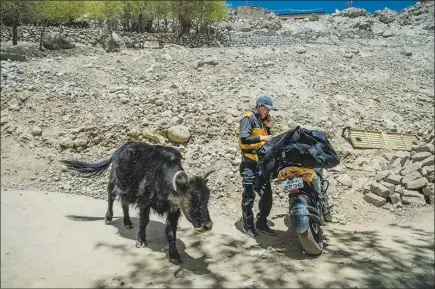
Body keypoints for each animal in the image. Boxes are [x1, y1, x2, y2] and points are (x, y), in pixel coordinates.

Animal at [62, 140, 215, 264]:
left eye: (207, 198)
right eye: (190, 198)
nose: (207, 225)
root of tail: (117, 150)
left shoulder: (173, 210)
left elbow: (172, 231)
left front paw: (174, 255)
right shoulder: (144, 202)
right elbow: (144, 221)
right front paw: (140, 241)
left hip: (127, 191)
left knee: (124, 203)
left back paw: (128, 222)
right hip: (114, 181)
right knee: (111, 197)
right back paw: (108, 218)